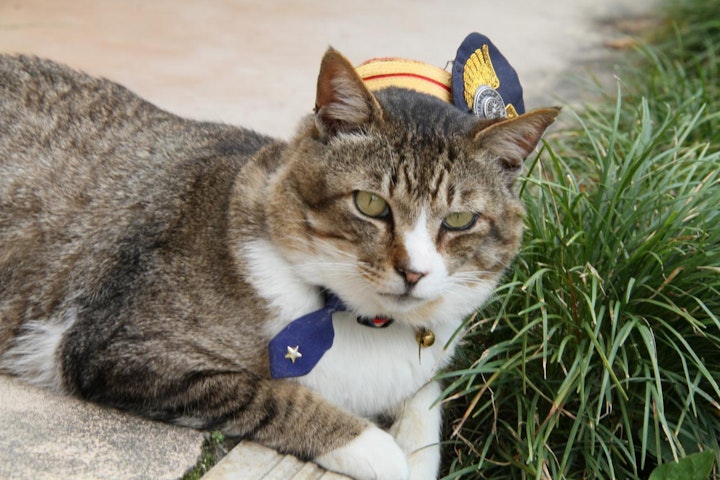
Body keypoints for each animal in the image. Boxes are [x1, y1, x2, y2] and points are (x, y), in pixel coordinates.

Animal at [0, 49, 556, 480]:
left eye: (460, 220)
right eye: (370, 204)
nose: (414, 272)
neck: (362, 322)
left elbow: (428, 399)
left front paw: (414, 451)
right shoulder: (122, 350)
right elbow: (273, 395)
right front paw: (379, 451)